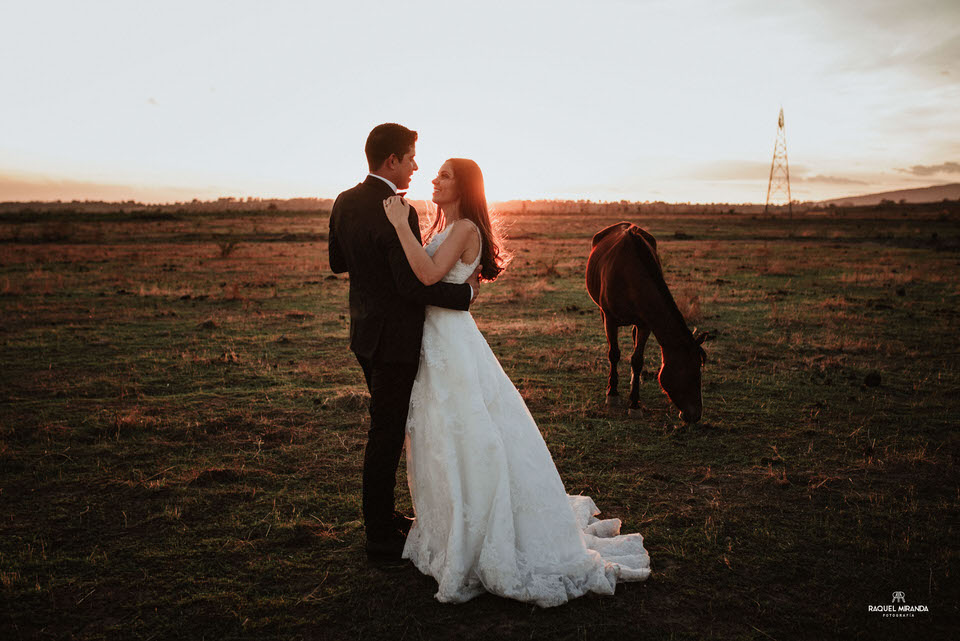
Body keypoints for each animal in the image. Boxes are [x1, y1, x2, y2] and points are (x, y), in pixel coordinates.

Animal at [584, 222, 704, 422]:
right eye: (692, 374)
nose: (695, 415)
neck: (629, 275)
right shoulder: (609, 319)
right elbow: (614, 354)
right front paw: (613, 394)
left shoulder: (645, 324)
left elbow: (637, 360)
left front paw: (634, 403)